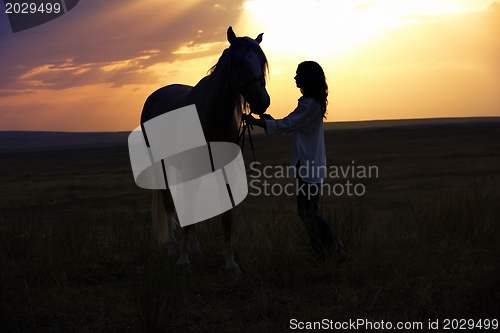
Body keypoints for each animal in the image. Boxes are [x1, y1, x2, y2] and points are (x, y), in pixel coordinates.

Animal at [139, 26, 272, 274]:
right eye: (239, 61)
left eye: (262, 60)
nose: (261, 100)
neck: (212, 114)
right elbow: (187, 212)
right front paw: (182, 260)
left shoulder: (224, 171)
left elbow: (226, 216)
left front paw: (230, 262)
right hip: (161, 165)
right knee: (169, 203)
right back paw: (172, 248)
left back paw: (195, 248)